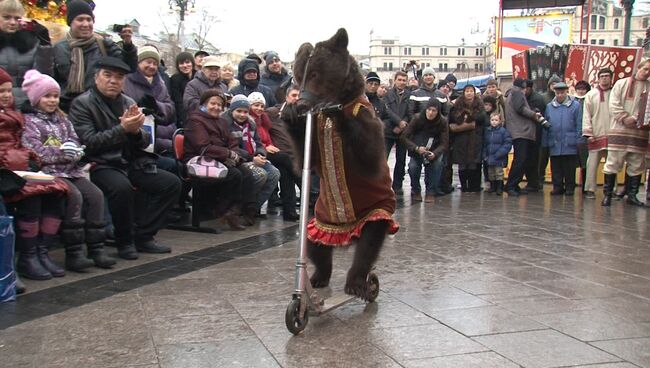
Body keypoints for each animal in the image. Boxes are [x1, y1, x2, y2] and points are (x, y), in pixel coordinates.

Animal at [280, 28, 398, 300]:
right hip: (321, 219)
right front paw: (290, 115)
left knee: (369, 242)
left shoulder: (369, 119)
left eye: (315, 73)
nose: (301, 103)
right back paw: (318, 276)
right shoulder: (315, 137)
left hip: (376, 210)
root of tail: (347, 234)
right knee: (315, 244)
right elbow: (308, 159)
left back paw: (358, 283)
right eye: (298, 76)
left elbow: (369, 159)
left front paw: (337, 113)